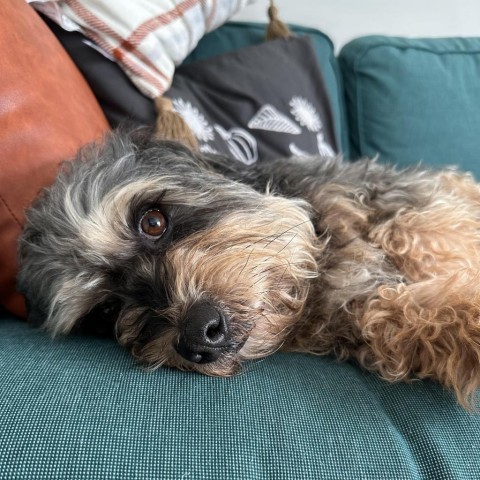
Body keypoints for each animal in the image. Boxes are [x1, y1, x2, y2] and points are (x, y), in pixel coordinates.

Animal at [16, 129, 480, 406]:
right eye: (107, 309)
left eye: (152, 221)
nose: (196, 335)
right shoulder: (364, 314)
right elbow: (408, 316)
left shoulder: (403, 203)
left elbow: (413, 228)